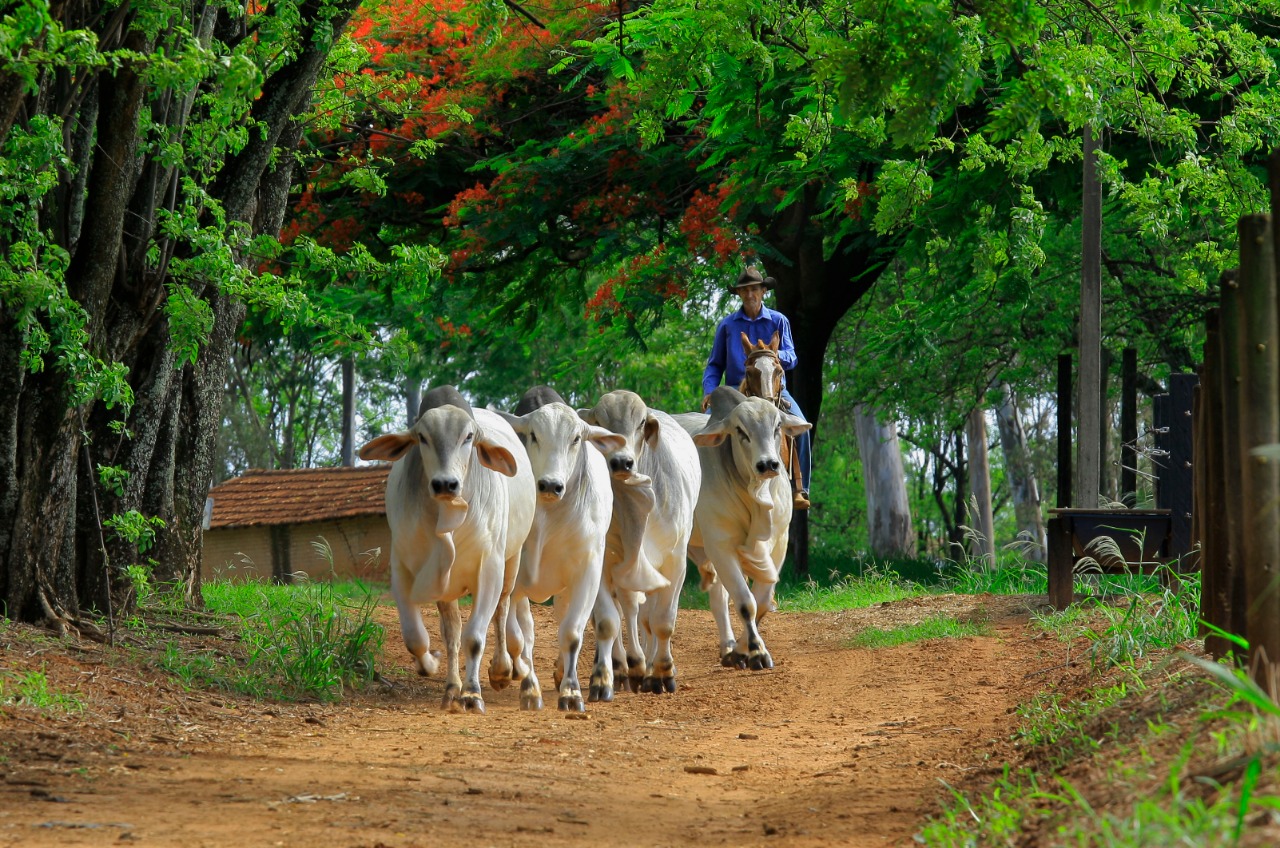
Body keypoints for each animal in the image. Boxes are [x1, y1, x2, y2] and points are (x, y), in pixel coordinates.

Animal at [358, 389, 532, 712]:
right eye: (422, 437)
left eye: (469, 436)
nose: (445, 484)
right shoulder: (405, 569)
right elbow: (418, 637)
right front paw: (433, 667)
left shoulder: (489, 569)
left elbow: (475, 637)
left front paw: (473, 693)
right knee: (452, 630)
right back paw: (452, 686)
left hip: (511, 562)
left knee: (502, 609)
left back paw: (502, 670)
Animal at [496, 389, 622, 712]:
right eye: (532, 435)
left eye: (576, 438)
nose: (550, 485)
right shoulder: (514, 580)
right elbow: (520, 638)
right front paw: (529, 690)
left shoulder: (586, 572)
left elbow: (572, 632)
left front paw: (571, 692)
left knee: (597, 622)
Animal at [581, 391, 701, 696]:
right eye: (599, 422)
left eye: (641, 423)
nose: (621, 462)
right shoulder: (604, 562)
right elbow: (607, 621)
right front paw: (604, 678)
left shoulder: (675, 562)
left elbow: (662, 622)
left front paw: (661, 673)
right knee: (631, 611)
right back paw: (629, 666)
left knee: (646, 617)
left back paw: (646, 665)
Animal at [686, 384, 803, 671]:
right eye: (740, 431)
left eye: (777, 426)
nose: (768, 464)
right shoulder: (720, 544)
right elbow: (745, 602)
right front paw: (756, 652)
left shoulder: (779, 543)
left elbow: (761, 601)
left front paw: (740, 651)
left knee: (717, 596)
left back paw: (727, 646)